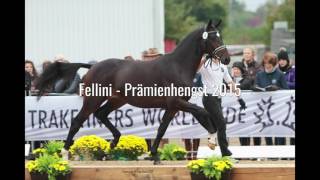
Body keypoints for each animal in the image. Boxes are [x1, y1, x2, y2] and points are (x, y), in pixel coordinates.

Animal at [35, 19, 230, 165]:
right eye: (213, 38)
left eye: (221, 37)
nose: (227, 59)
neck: (178, 66)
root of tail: (92, 67)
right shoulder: (176, 102)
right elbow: (203, 112)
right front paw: (212, 140)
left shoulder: (174, 106)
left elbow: (163, 128)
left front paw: (154, 155)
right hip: (93, 100)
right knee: (77, 121)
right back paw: (65, 153)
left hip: (116, 100)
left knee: (101, 114)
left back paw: (112, 145)